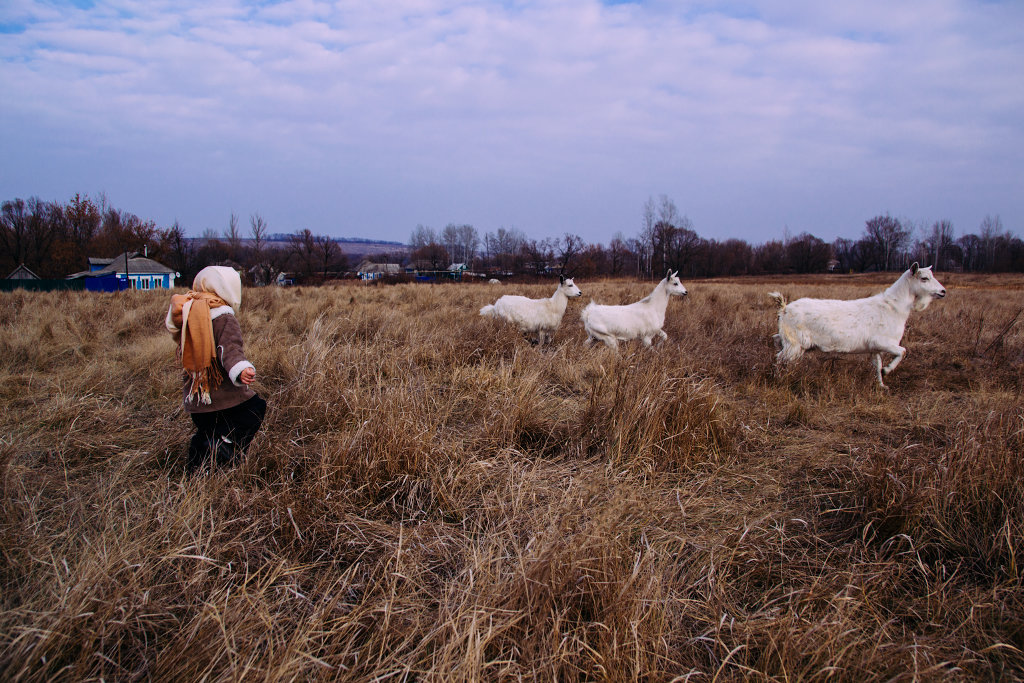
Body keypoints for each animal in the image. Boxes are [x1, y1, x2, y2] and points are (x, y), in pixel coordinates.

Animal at [770, 264, 946, 389]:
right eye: (924, 278)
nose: (943, 291)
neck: (894, 307)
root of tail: (784, 308)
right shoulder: (883, 342)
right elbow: (902, 351)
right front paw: (887, 370)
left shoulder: (875, 348)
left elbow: (877, 365)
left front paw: (882, 385)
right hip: (794, 344)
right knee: (779, 358)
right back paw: (779, 379)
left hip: (794, 344)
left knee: (779, 346)